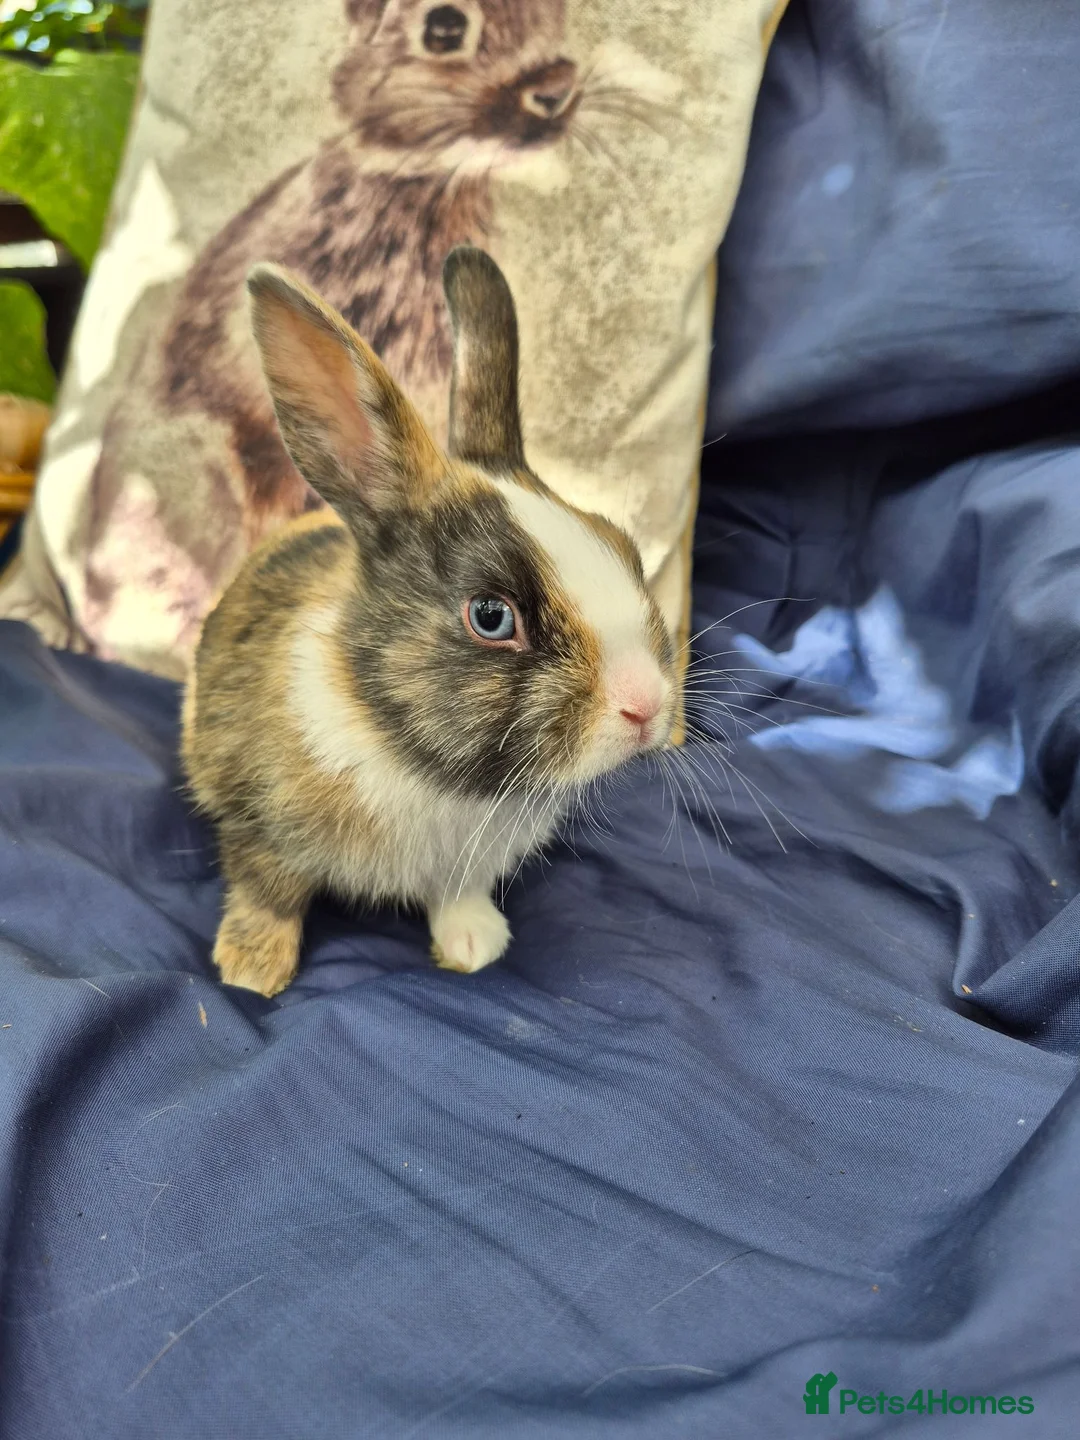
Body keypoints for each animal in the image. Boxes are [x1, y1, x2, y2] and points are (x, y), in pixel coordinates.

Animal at [180, 247, 676, 996]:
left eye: (624, 549)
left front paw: (475, 945)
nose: (647, 706)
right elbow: (268, 893)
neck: (424, 763)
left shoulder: (467, 865)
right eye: (492, 616)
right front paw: (251, 970)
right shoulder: (258, 823)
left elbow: (458, 895)